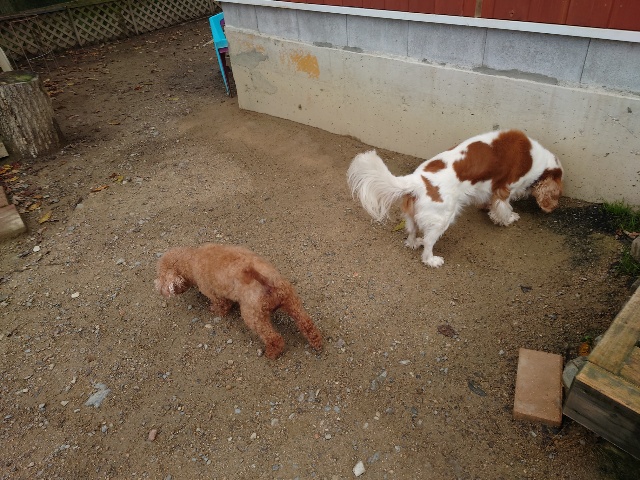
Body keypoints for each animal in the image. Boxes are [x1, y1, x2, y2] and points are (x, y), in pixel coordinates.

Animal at [155, 243, 323, 359]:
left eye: (161, 274)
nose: (158, 288)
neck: (190, 260)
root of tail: (265, 281)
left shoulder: (213, 293)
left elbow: (221, 305)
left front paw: (216, 311)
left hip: (252, 315)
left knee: (274, 338)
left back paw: (271, 353)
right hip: (291, 300)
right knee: (306, 323)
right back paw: (316, 341)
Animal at [347, 129, 563, 267]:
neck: (534, 159)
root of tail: (416, 180)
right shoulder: (504, 189)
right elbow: (503, 208)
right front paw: (508, 219)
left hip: (413, 216)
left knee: (412, 232)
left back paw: (414, 242)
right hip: (443, 218)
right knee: (429, 243)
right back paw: (432, 260)